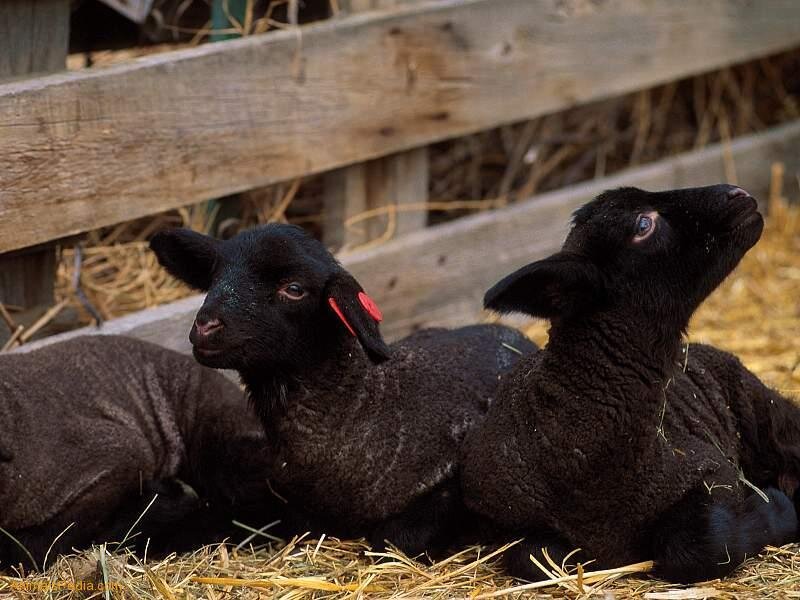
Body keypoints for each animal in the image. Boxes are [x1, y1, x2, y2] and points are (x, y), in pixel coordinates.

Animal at [149, 223, 536, 557]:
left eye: (294, 289)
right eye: (215, 276)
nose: (206, 326)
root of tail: (513, 335)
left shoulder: (449, 486)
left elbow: (392, 539)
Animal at [461, 184, 800, 584]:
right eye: (642, 225)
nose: (739, 194)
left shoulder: (713, 470)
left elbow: (702, 545)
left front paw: (777, 508)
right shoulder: (505, 528)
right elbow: (535, 557)